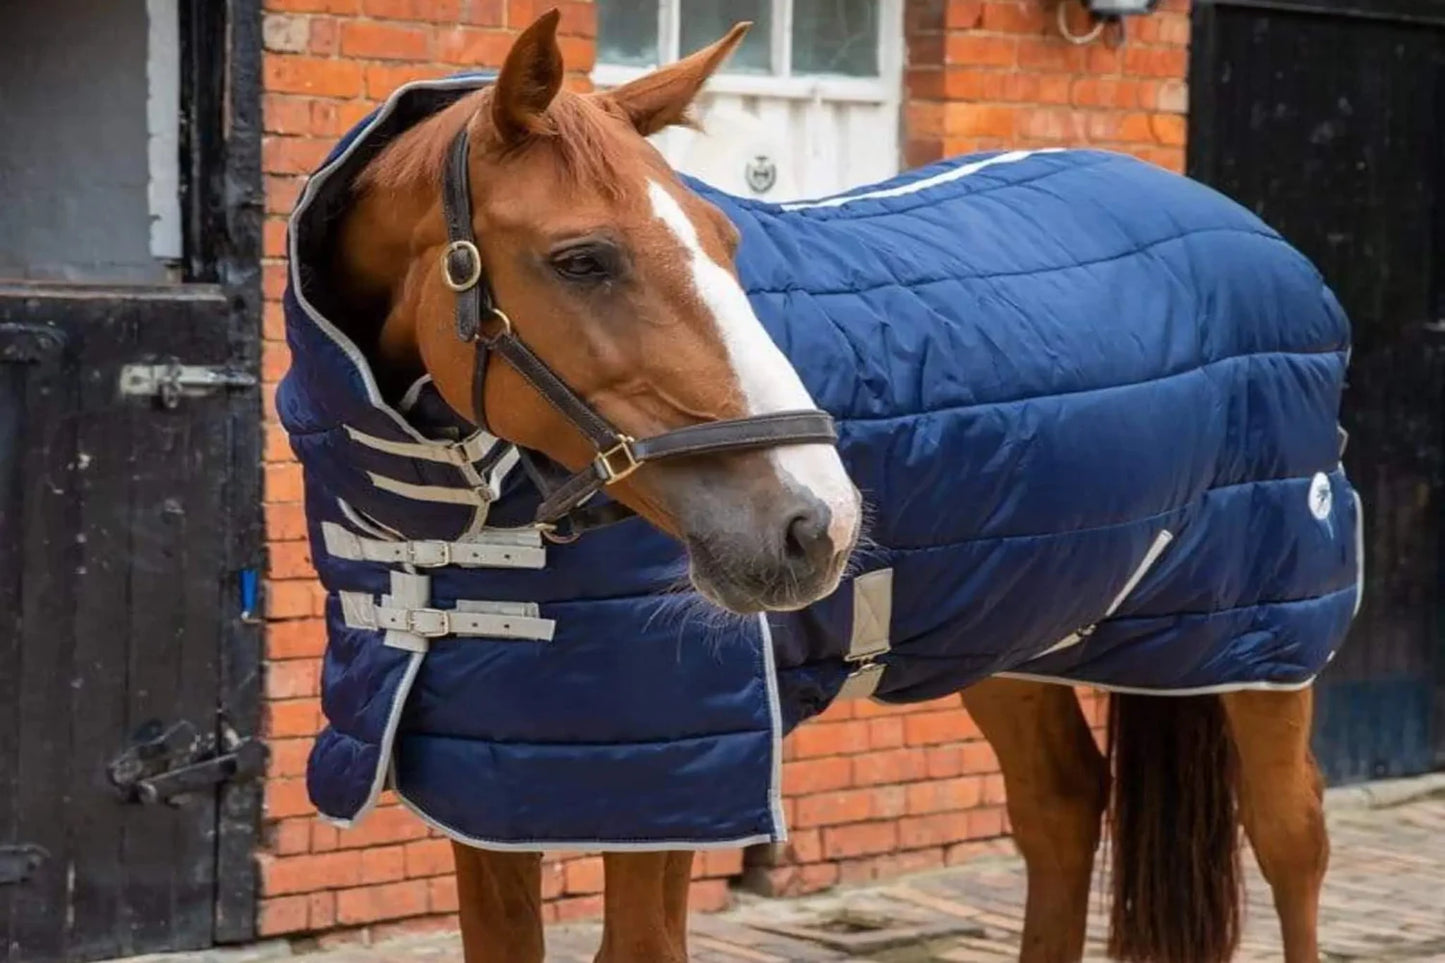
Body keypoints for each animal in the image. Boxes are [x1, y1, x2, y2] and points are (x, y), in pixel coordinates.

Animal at [294, 10, 1348, 963]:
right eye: (581, 258)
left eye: (724, 239)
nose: (816, 523)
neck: (450, 523)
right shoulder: (493, 791)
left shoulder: (678, 785)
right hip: (1016, 619)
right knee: (1060, 804)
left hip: (1263, 640)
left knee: (1290, 839)